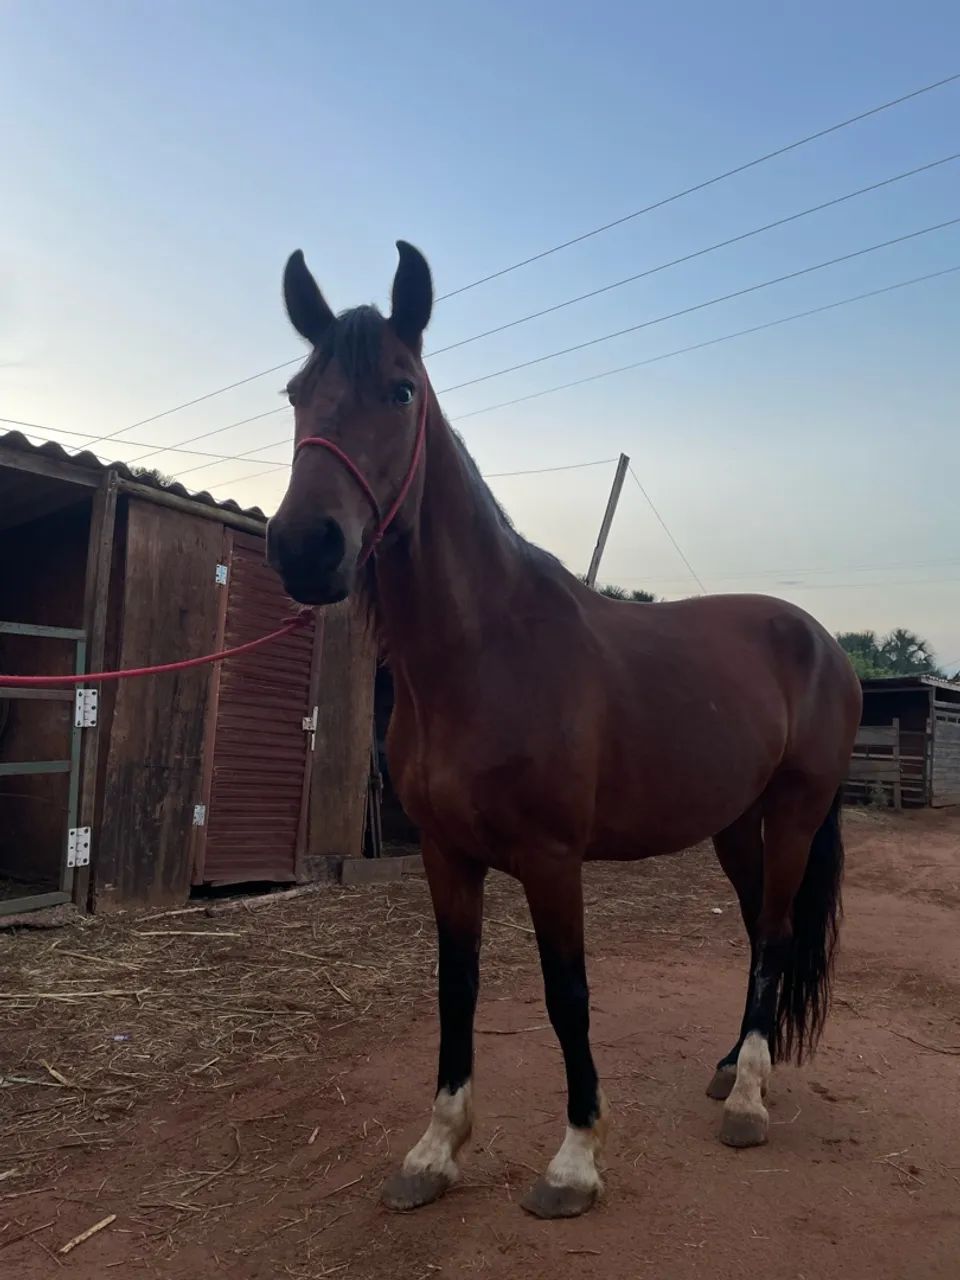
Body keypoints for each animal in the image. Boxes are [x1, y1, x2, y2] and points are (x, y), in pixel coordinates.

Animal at [266, 242, 862, 1220]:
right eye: (295, 394)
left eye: (400, 389)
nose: (304, 548)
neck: (486, 651)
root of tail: (822, 642)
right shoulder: (446, 856)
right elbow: (457, 988)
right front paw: (435, 1151)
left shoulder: (552, 861)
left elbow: (567, 994)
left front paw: (576, 1159)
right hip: (736, 822)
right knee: (754, 931)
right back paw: (734, 1067)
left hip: (796, 815)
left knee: (776, 932)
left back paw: (748, 1100)